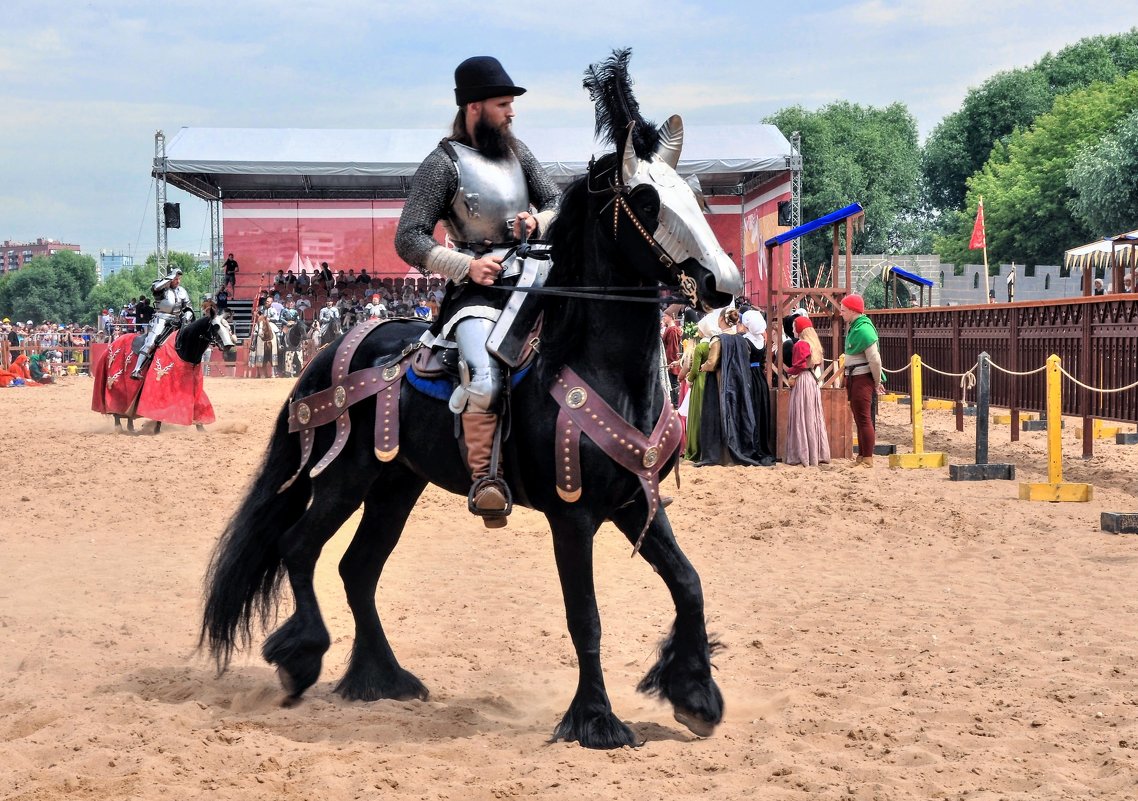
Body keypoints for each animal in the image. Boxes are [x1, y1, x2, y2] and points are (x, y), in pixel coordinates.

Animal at [201, 53, 741, 746]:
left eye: (696, 196)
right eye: (646, 200)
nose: (723, 283)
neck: (598, 365)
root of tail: (335, 350)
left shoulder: (631, 500)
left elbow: (688, 583)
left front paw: (695, 694)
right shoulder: (573, 516)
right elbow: (586, 617)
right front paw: (595, 719)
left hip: (396, 484)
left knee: (357, 569)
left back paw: (381, 678)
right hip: (347, 478)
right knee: (301, 548)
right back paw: (302, 661)